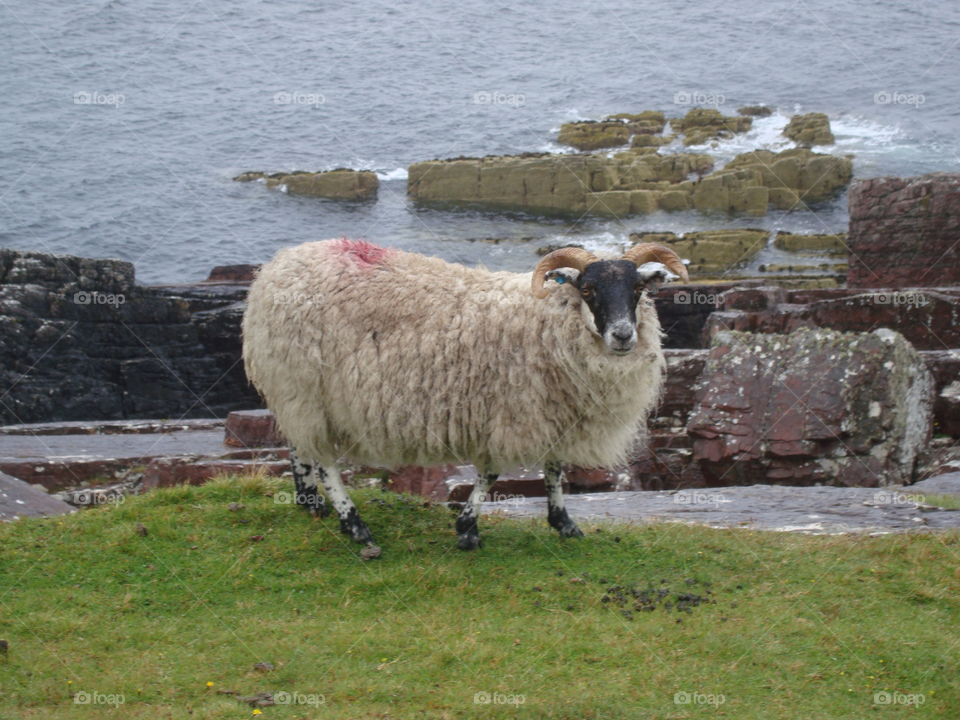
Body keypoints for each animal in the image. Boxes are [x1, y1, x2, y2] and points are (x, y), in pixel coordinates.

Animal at [242, 237, 688, 552]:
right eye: (589, 289)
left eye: (638, 289)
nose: (623, 336)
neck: (546, 319)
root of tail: (277, 266)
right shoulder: (508, 410)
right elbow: (491, 473)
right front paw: (467, 528)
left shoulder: (552, 410)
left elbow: (555, 468)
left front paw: (564, 523)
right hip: (305, 384)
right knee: (324, 462)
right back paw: (356, 527)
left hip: (299, 392)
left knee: (300, 445)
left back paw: (309, 503)